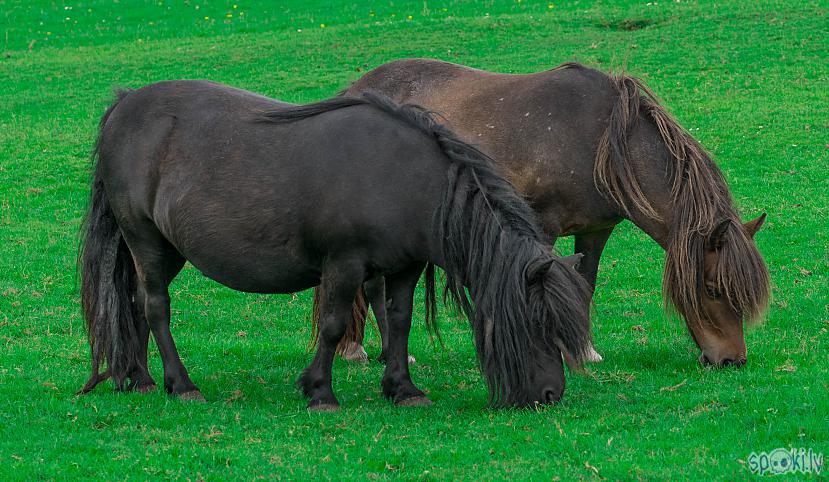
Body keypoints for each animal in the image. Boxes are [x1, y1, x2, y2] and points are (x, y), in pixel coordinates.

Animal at [79, 81, 596, 408]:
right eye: (537, 322)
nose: (551, 395)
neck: (407, 179)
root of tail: (123, 106)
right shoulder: (344, 266)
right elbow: (331, 326)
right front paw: (320, 392)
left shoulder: (404, 268)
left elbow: (399, 322)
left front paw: (403, 389)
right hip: (145, 240)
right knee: (155, 306)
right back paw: (180, 384)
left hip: (165, 250)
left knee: (135, 304)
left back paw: (142, 379)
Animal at [314, 59, 768, 370]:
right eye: (712, 289)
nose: (733, 360)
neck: (601, 141)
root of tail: (357, 89)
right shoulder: (543, 226)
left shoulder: (596, 230)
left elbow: (586, 284)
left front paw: (585, 351)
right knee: (374, 285)